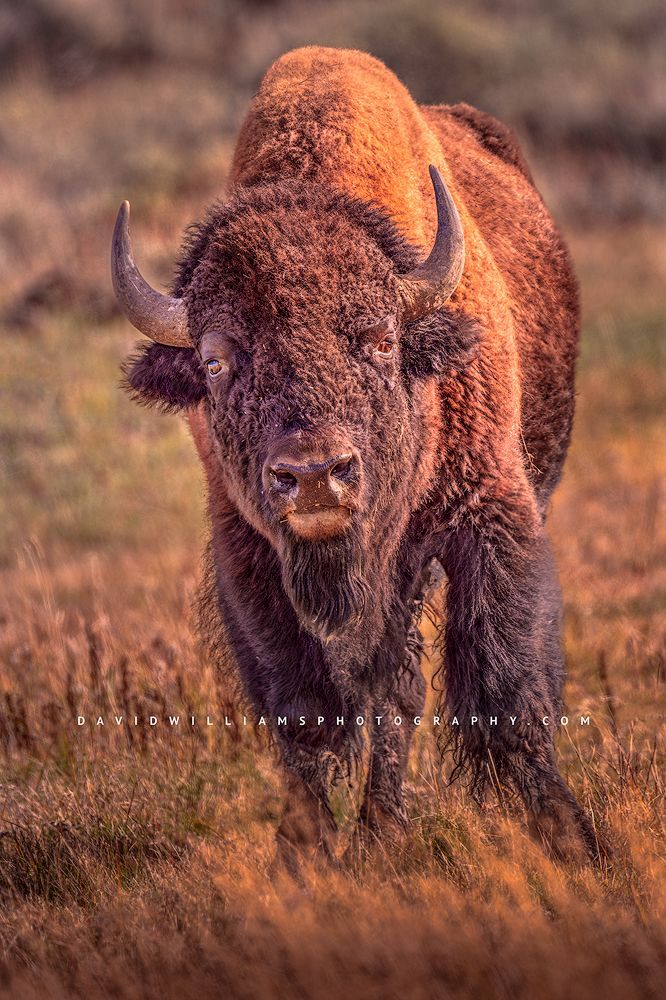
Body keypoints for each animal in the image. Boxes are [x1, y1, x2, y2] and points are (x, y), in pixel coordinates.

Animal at [112, 47, 596, 866]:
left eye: (377, 340)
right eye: (215, 361)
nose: (313, 476)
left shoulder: (486, 515)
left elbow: (503, 689)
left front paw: (571, 839)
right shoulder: (248, 554)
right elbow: (304, 707)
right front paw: (301, 856)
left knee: (401, 685)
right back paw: (377, 830)